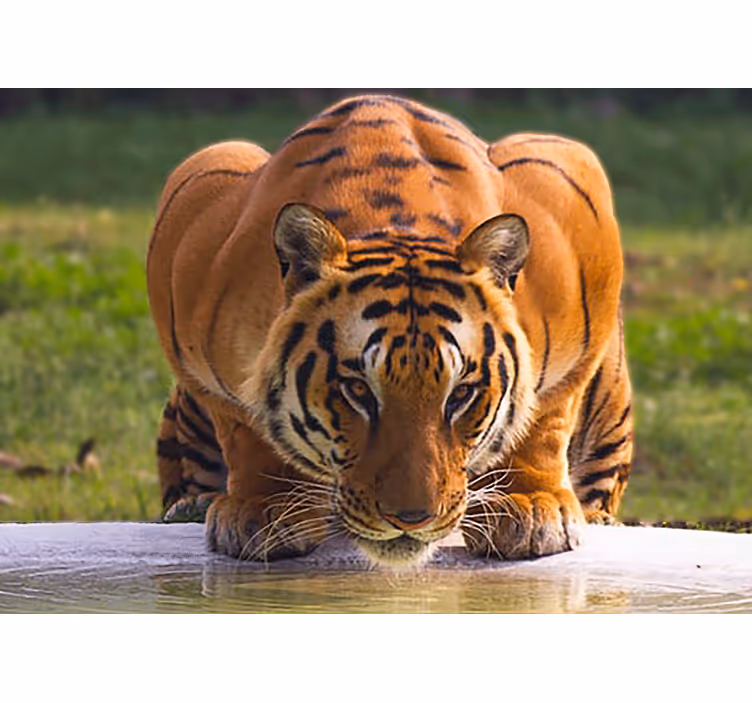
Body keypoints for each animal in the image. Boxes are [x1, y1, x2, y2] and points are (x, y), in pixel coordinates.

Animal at [147, 94, 632, 566]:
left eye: (461, 394)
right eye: (357, 390)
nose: (412, 519)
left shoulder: (572, 193)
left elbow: (546, 415)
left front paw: (530, 506)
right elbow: (242, 425)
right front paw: (264, 509)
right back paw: (190, 507)